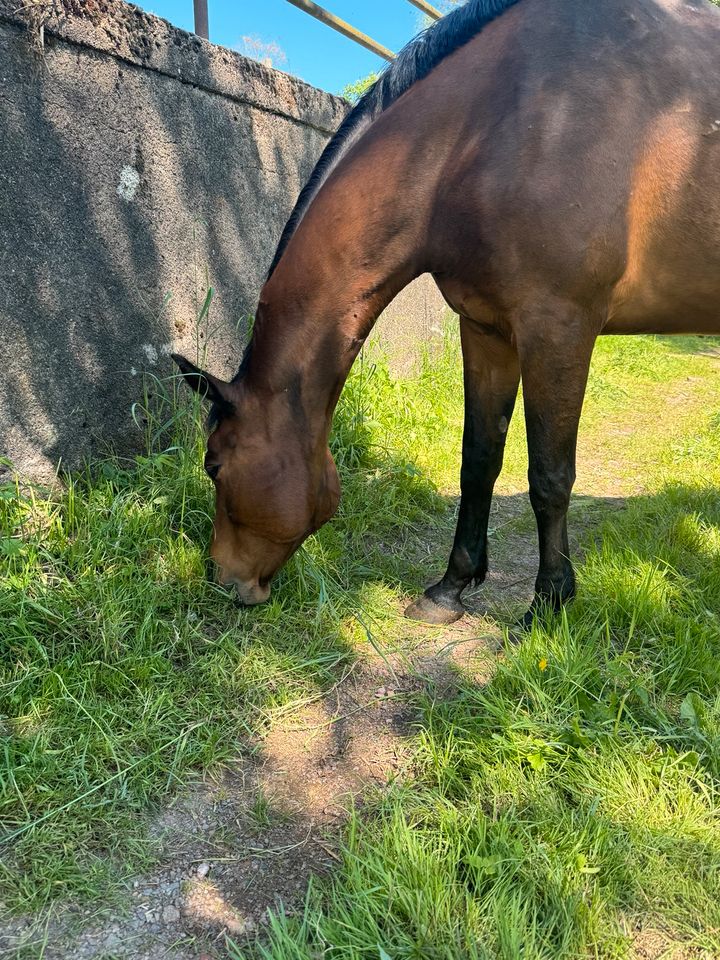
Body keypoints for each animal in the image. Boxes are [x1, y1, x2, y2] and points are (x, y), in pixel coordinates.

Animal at [173, 0, 720, 628]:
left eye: (214, 466)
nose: (224, 579)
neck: (493, 125)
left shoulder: (558, 329)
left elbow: (550, 475)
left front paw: (549, 603)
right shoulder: (487, 330)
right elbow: (478, 461)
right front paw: (450, 589)